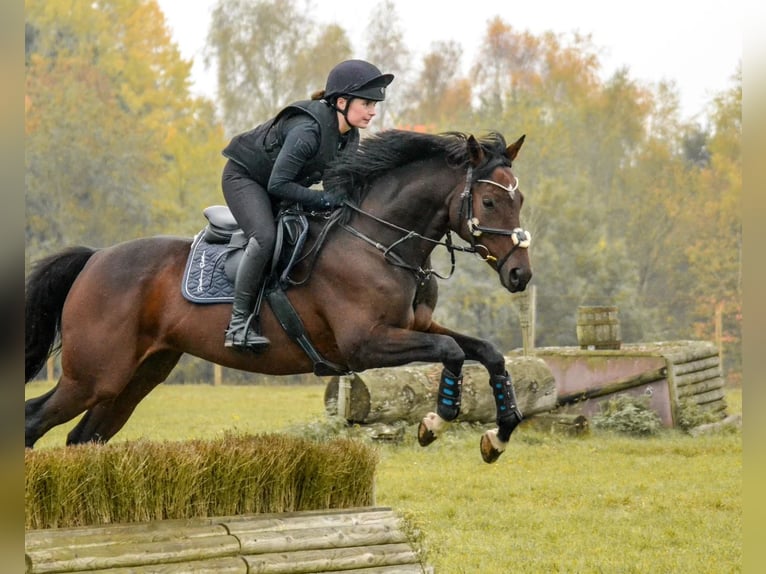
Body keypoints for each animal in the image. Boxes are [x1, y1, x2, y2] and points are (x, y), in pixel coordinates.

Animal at [25, 129, 532, 463]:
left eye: (520, 199)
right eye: (489, 202)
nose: (520, 275)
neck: (378, 242)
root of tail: (95, 258)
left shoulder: (415, 326)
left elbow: (486, 352)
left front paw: (499, 434)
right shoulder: (366, 345)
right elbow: (451, 351)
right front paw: (434, 422)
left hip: (134, 378)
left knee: (82, 438)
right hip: (93, 376)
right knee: (34, 420)